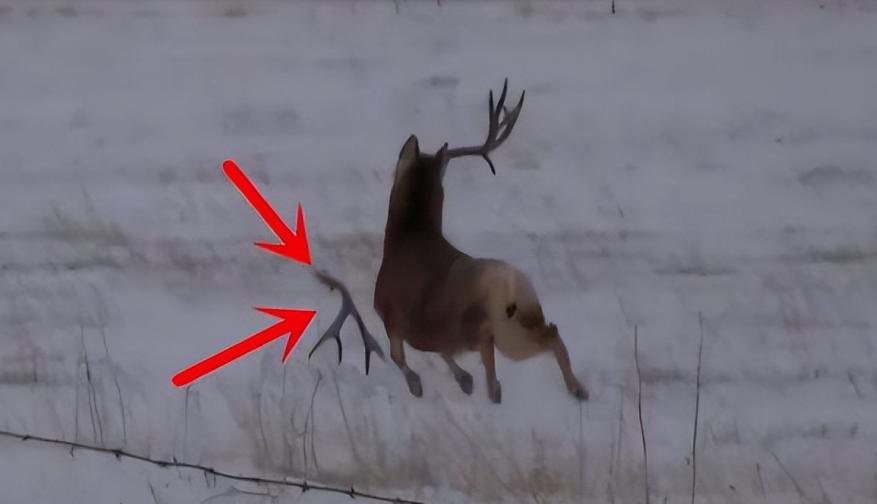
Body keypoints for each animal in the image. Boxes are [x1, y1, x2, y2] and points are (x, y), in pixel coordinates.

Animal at [308, 79, 588, 403]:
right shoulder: (430, 332)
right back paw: (577, 389)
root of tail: (511, 285)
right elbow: (440, 352)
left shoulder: (392, 316)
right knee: (551, 331)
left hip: (495, 329)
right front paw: (463, 379)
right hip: (524, 319)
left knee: (503, 343)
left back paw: (502, 387)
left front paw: (421, 384)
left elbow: (399, 356)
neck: (408, 237)